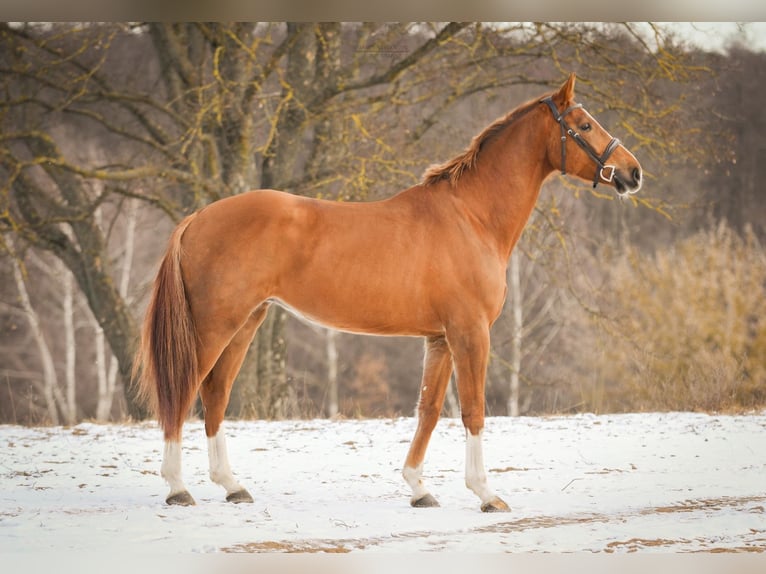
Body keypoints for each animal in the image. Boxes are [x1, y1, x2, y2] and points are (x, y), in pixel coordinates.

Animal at [134, 73, 642, 512]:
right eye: (584, 125)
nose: (633, 173)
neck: (471, 216)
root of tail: (197, 218)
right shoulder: (470, 333)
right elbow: (473, 411)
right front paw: (486, 494)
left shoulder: (439, 338)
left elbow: (429, 410)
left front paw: (419, 489)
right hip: (214, 326)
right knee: (184, 393)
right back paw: (178, 488)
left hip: (246, 323)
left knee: (216, 394)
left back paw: (232, 486)